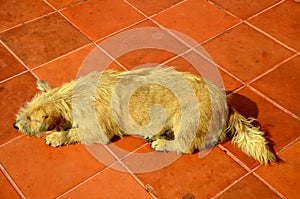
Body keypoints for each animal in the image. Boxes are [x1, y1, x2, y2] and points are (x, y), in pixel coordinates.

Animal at [14, 67, 276, 165]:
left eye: (31, 119)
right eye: (23, 111)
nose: (15, 125)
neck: (69, 98)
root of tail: (228, 106)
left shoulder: (98, 131)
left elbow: (75, 132)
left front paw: (57, 136)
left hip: (185, 118)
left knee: (186, 146)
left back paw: (162, 143)